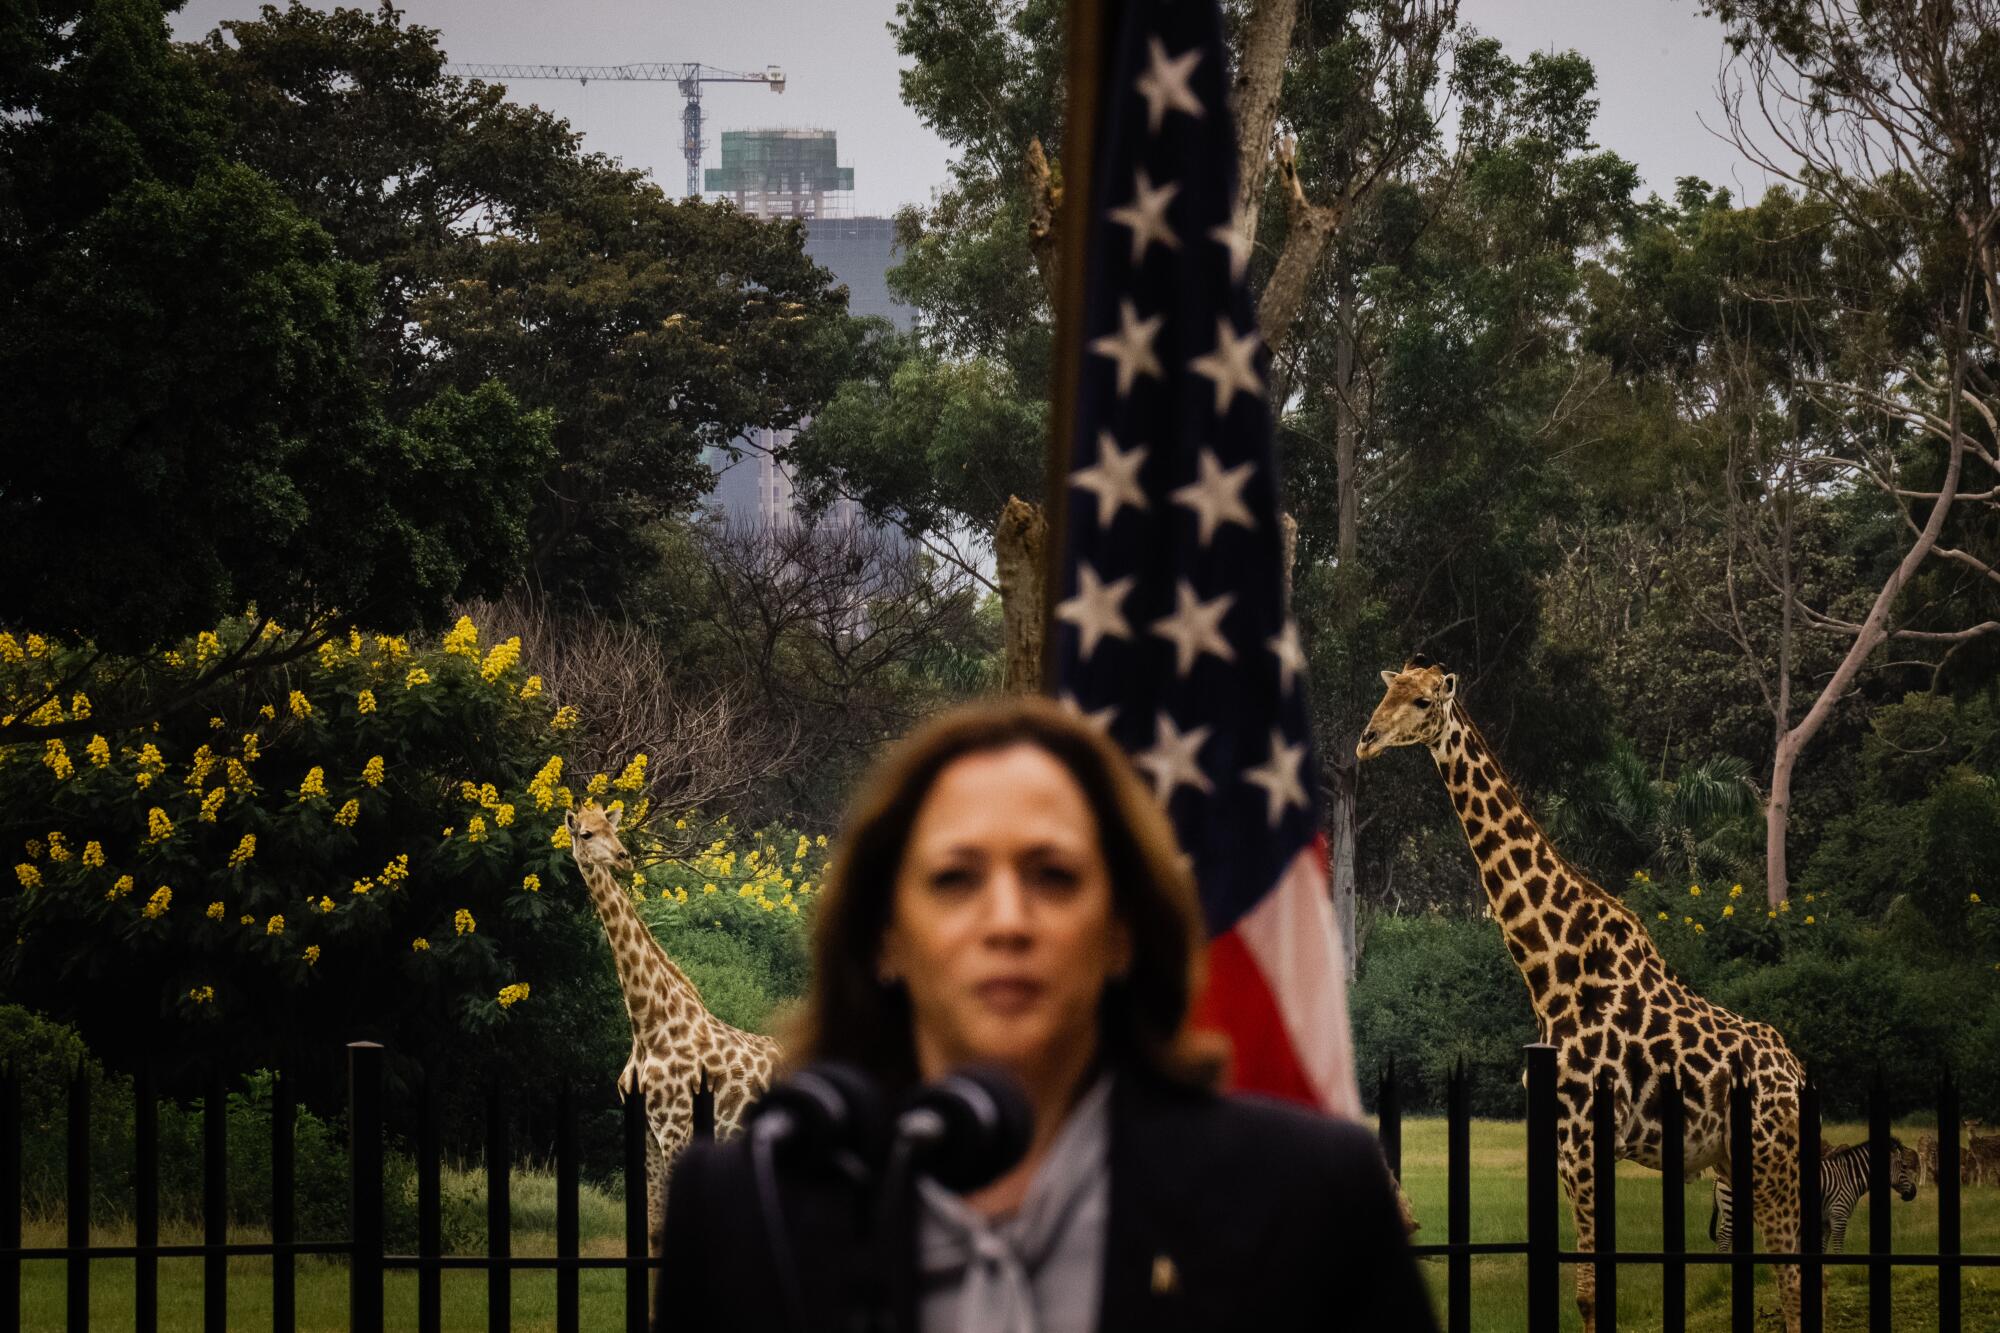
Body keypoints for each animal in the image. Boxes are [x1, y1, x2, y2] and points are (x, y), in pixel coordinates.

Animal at [568, 800, 784, 1248]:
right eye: (586, 834)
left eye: (613, 830)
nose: (623, 857)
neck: (649, 1024)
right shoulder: (648, 1132)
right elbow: (654, 1231)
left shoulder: (676, 1129)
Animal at [1360, 656, 1816, 1328]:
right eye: (1387, 691)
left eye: (1422, 702)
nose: (1365, 740)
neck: (1552, 969)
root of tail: (1797, 1074)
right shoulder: (1563, 1141)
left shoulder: (1582, 1139)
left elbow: (1588, 1291)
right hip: (1734, 1162)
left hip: (1770, 1157)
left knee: (1794, 1273)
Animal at [1712, 1136, 1912, 1248]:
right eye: (1904, 1166)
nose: (1914, 1193)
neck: (1847, 1176)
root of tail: (1719, 1176)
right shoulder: (1839, 1215)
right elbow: (1838, 1246)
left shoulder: (1825, 1220)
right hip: (1732, 1208)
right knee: (1724, 1237)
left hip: (1726, 1209)